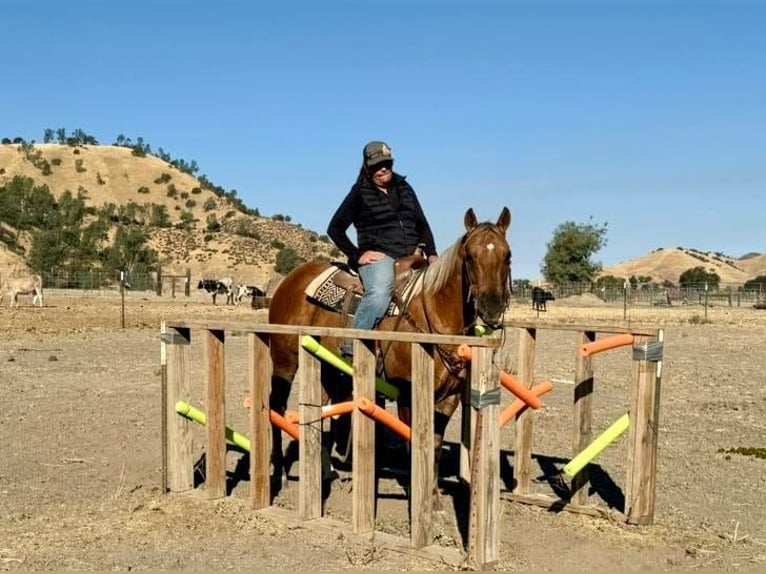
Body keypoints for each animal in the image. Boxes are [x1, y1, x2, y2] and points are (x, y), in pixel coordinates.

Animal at [267, 206, 512, 505]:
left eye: (507, 255)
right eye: (470, 256)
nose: (492, 307)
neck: (434, 316)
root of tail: (289, 280)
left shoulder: (449, 398)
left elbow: (435, 445)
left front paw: (434, 500)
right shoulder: (407, 395)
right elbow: (414, 444)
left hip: (326, 367)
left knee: (320, 408)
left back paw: (326, 472)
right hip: (285, 361)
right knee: (277, 405)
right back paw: (279, 473)